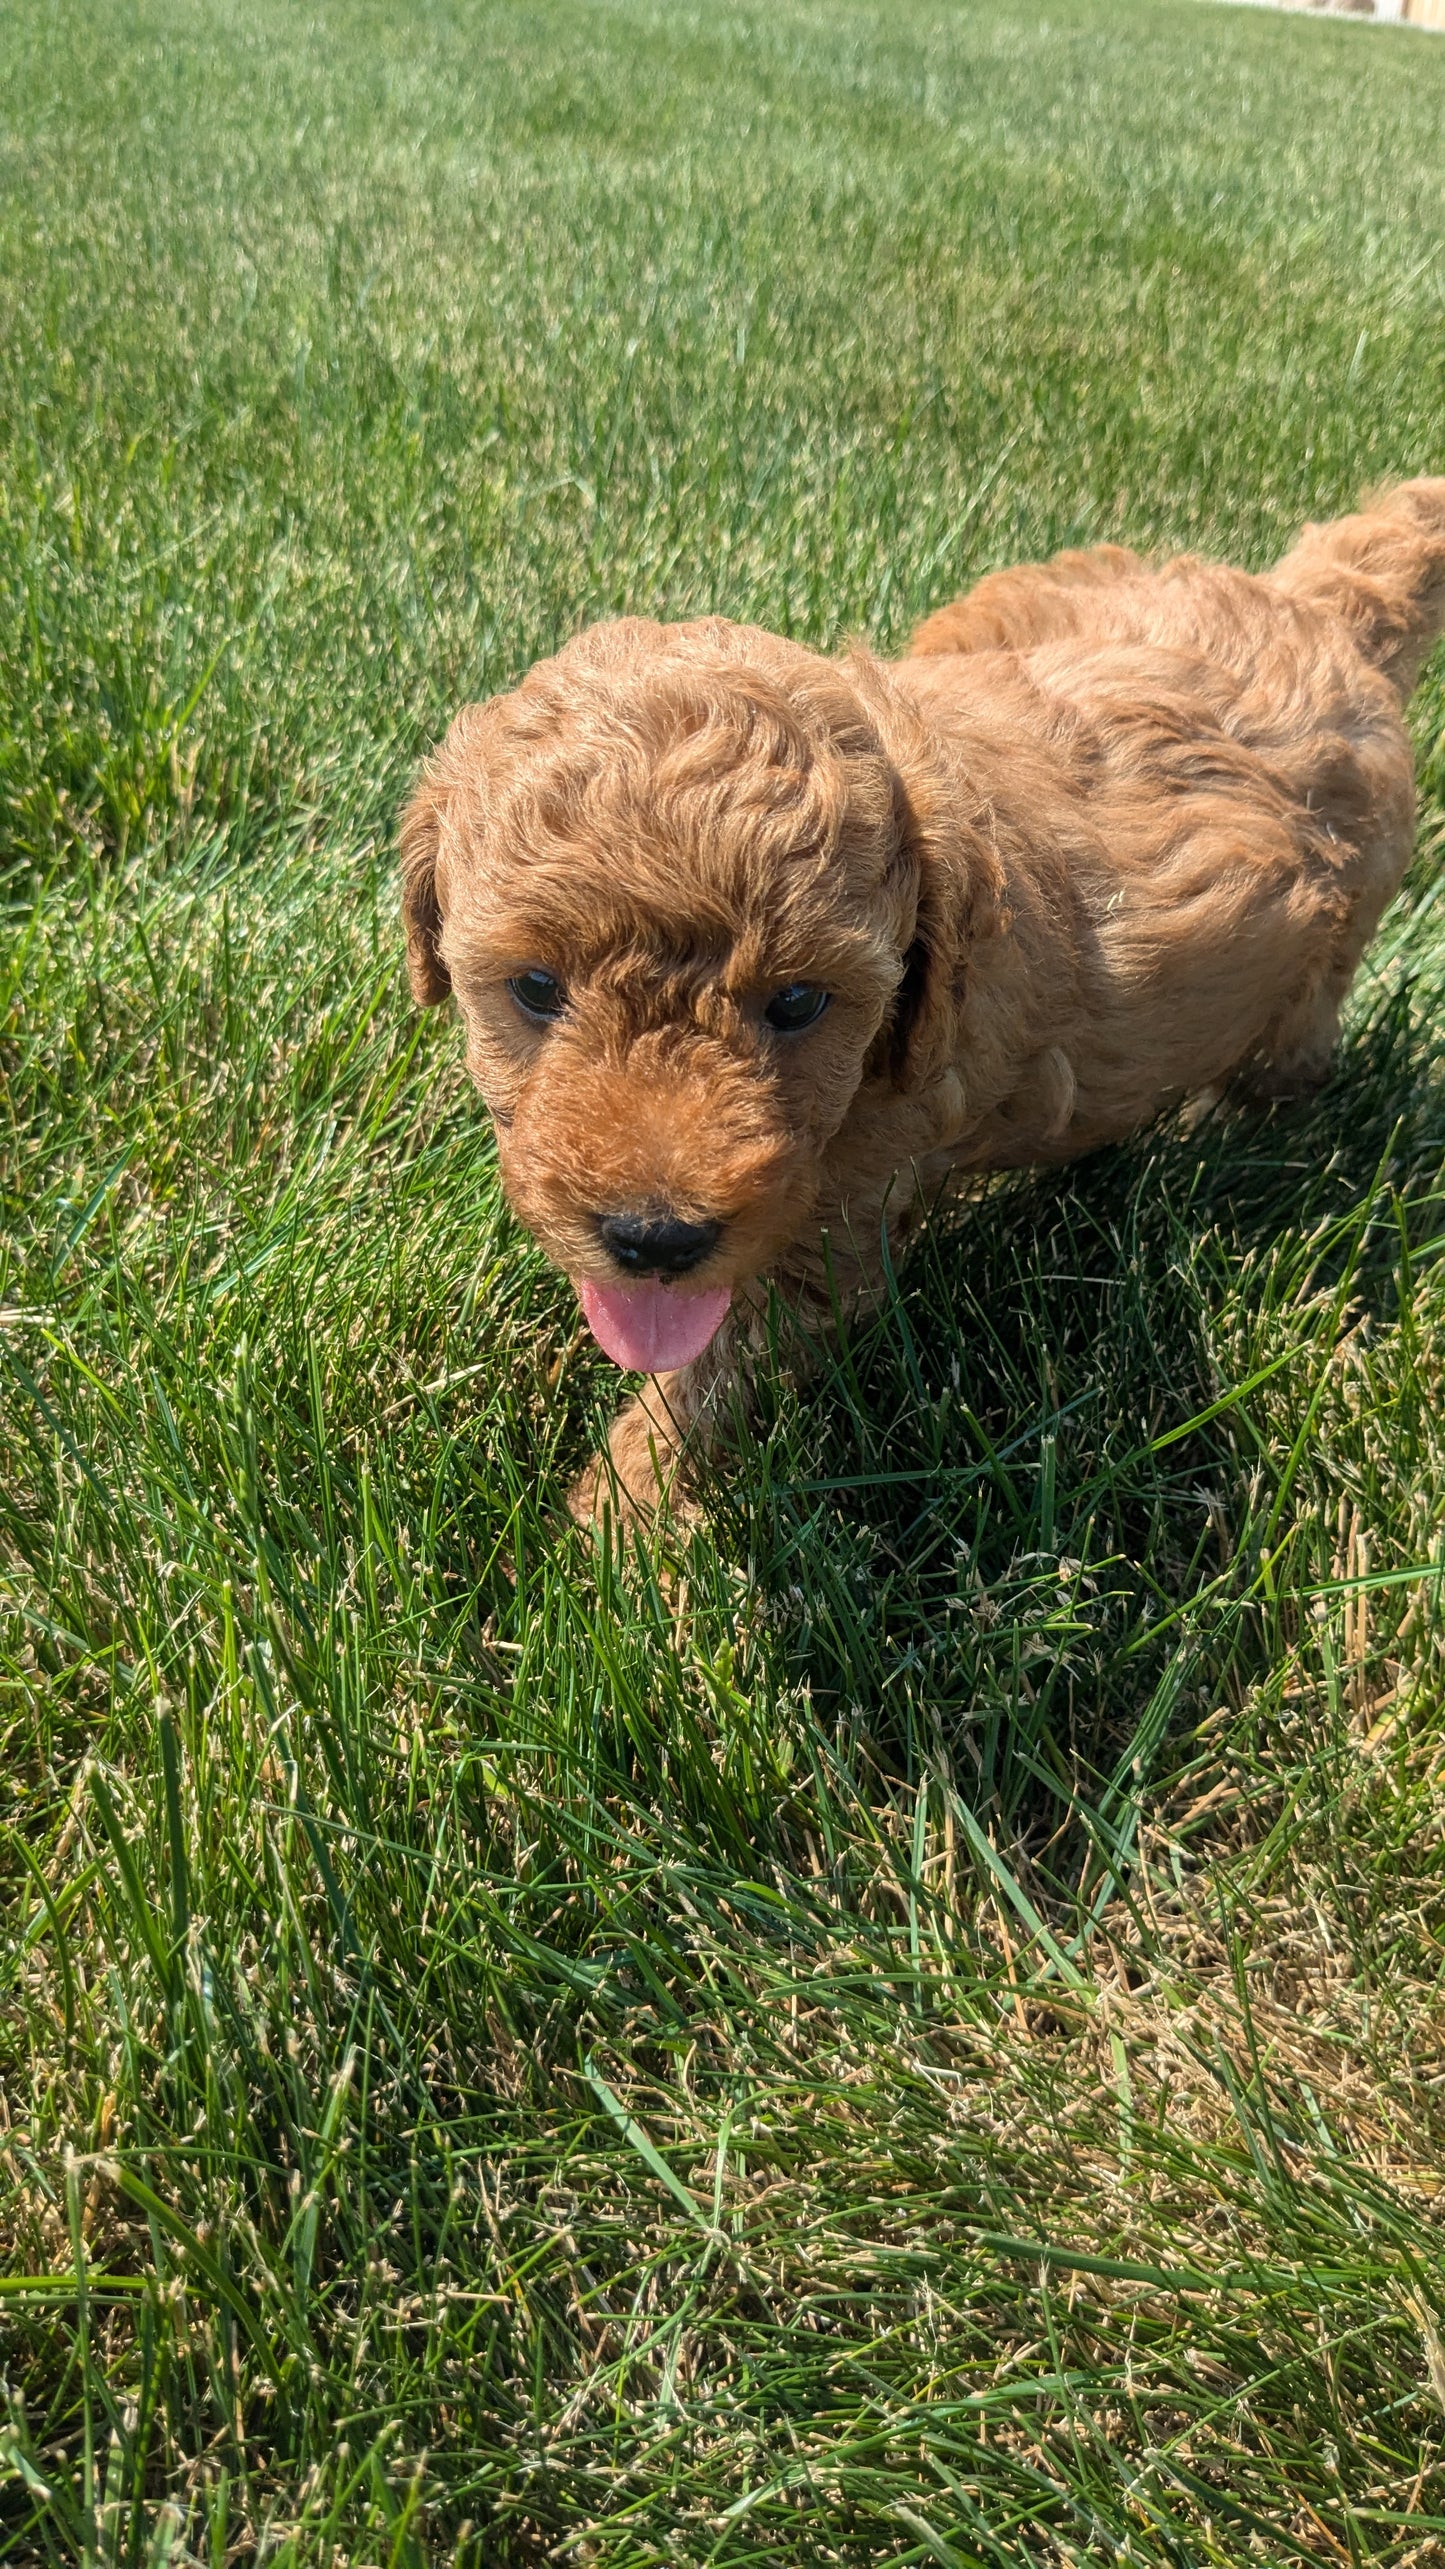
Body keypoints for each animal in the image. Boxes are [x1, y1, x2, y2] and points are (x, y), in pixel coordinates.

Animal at [398, 482, 1439, 1520]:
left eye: (799, 1002)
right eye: (535, 988)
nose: (655, 1239)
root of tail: (1319, 605)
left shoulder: (842, 1211)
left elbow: (716, 1371)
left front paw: (620, 1509)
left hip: (1323, 961)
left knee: (1293, 1062)